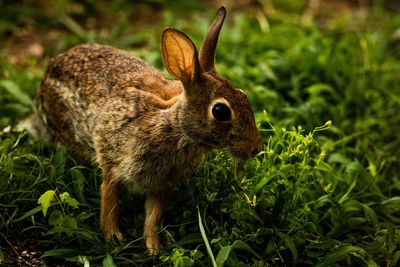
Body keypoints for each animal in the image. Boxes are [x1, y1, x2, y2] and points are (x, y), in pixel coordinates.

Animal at [32, 5, 260, 254]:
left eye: (244, 96)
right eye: (220, 111)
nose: (255, 149)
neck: (176, 128)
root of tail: (47, 75)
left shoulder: (161, 184)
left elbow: (153, 216)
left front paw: (154, 248)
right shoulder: (113, 161)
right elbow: (110, 201)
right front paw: (113, 237)